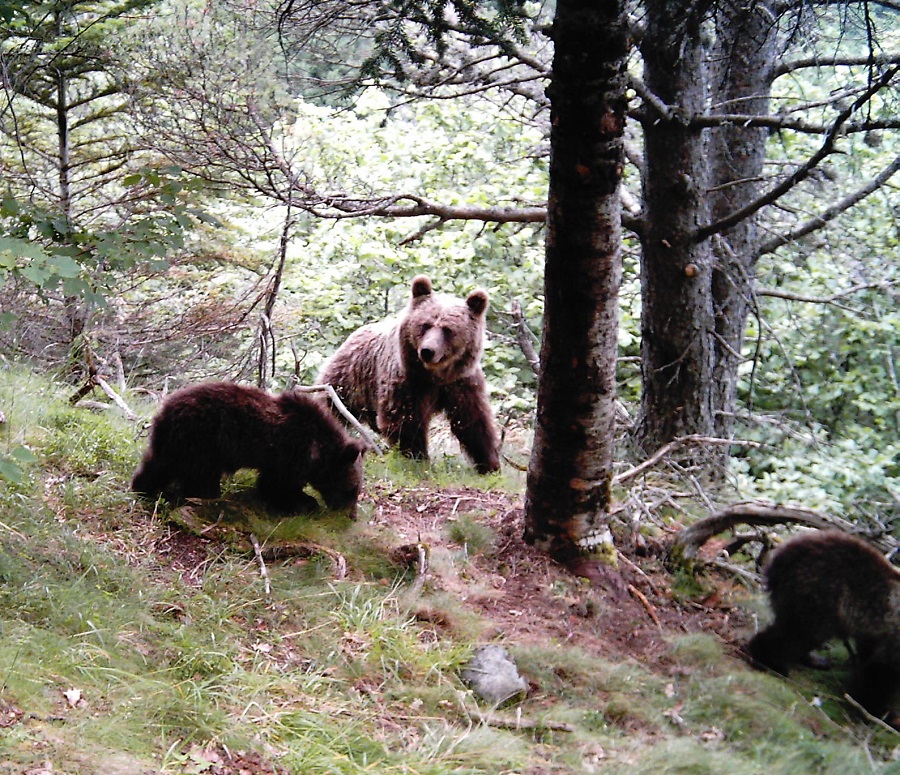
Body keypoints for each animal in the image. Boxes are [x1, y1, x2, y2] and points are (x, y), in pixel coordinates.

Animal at [129, 382, 366, 516]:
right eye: (352, 489)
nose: (350, 516)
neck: (318, 451)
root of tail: (165, 411)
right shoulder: (289, 454)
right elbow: (277, 486)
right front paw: (303, 503)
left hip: (175, 444)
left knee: (157, 465)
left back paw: (144, 487)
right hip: (202, 442)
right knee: (200, 477)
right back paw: (207, 497)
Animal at [316, 276, 500, 476]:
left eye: (448, 329)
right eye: (425, 325)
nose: (427, 351)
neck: (436, 375)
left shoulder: (461, 383)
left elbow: (473, 420)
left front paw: (490, 464)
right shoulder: (408, 381)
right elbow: (405, 419)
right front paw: (417, 458)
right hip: (347, 380)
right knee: (330, 406)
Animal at [744, 528, 900, 728]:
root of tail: (781, 556)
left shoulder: (875, 634)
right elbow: (880, 673)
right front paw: (879, 712)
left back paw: (813, 659)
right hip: (821, 597)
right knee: (796, 635)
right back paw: (772, 661)